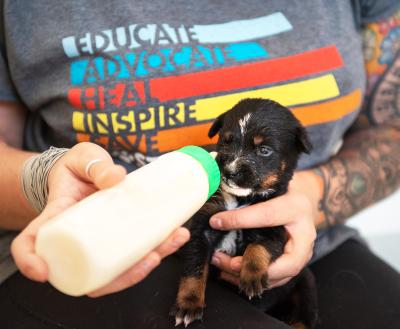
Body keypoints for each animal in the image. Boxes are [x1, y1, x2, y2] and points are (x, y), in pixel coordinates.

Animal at [170, 98, 318, 326]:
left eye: (264, 150)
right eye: (226, 141)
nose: (230, 171)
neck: (240, 201)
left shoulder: (273, 227)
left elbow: (259, 247)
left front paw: (252, 277)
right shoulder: (202, 229)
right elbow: (194, 269)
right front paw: (188, 304)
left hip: (305, 285)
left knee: (303, 319)